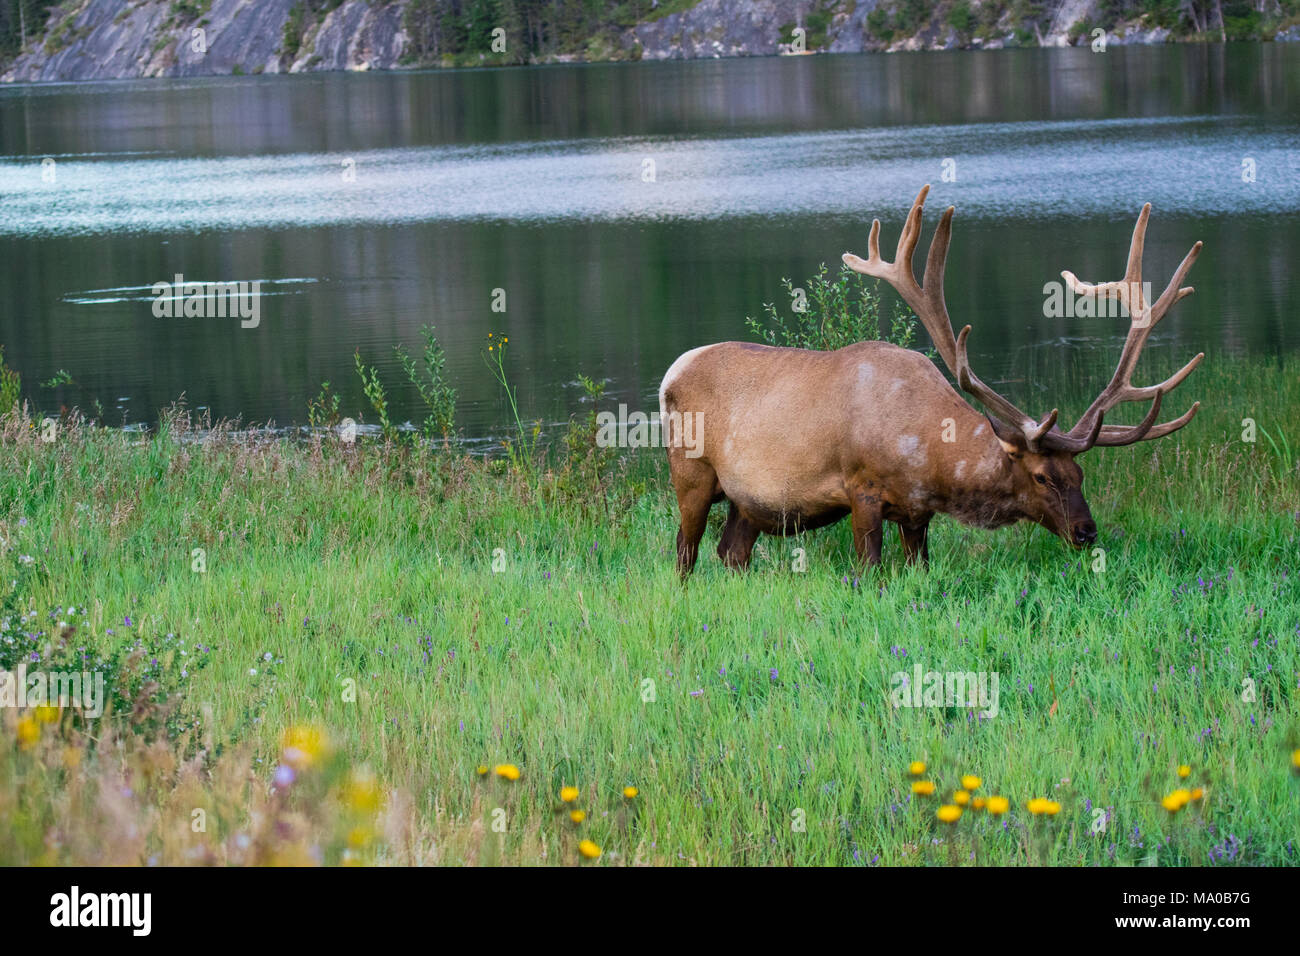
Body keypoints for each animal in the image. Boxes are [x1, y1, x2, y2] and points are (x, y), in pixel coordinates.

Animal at [665, 185, 1201, 574]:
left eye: (1080, 474)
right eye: (1042, 476)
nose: (1087, 531)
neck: (930, 461)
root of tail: (674, 368)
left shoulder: (917, 512)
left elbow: (919, 570)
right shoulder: (861, 489)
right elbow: (869, 571)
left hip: (747, 502)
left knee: (732, 552)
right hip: (689, 473)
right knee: (685, 552)